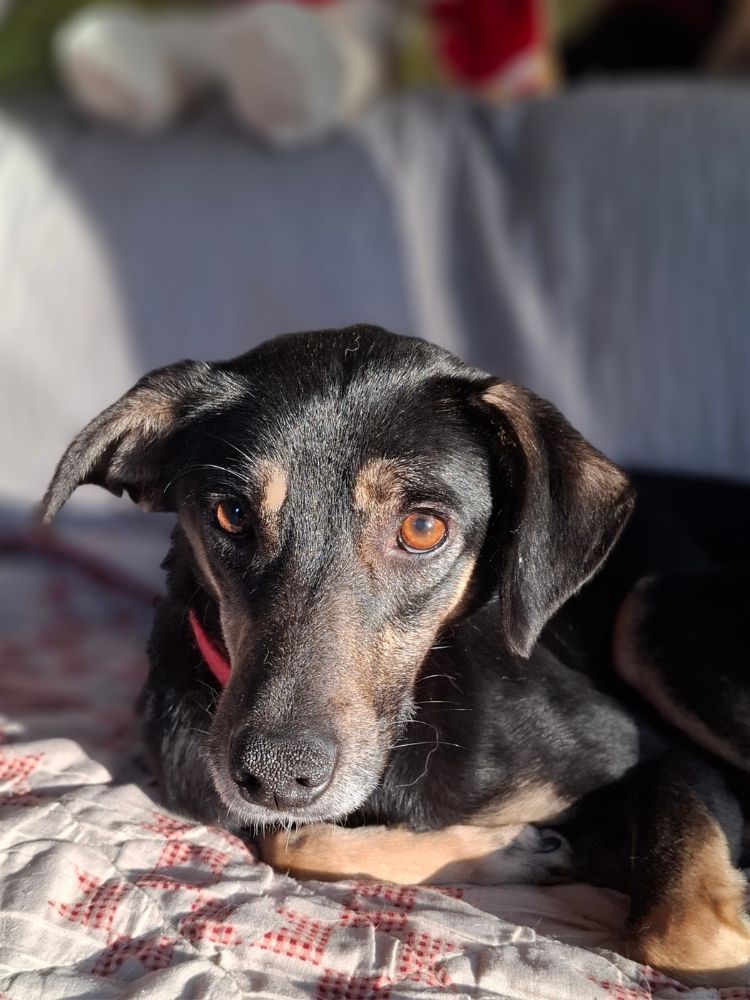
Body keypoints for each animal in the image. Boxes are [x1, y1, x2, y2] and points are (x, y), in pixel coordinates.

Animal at [42, 325, 750, 986]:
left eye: (423, 528)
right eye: (232, 514)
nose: (276, 775)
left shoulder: (656, 755)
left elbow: (679, 930)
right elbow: (288, 843)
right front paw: (518, 849)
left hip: (650, 613)